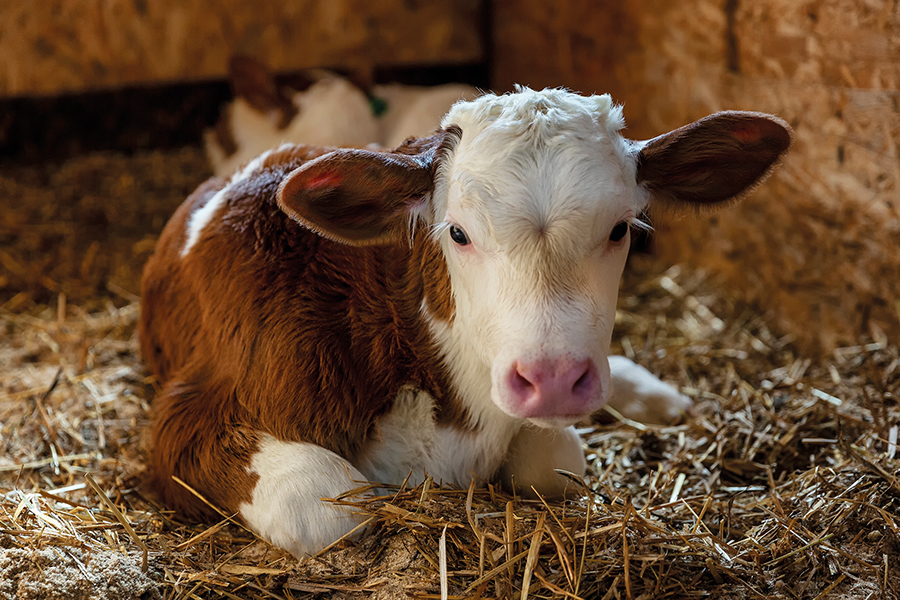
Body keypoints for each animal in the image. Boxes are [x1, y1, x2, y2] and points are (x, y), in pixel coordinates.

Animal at [140, 86, 791, 557]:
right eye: (457, 232)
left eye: (620, 228)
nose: (554, 379)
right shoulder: (190, 418)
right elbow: (329, 507)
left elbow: (555, 461)